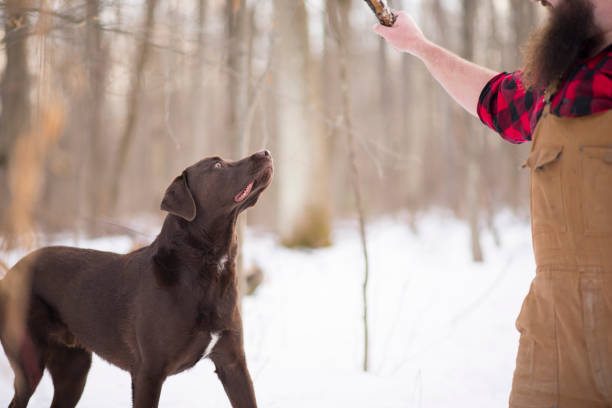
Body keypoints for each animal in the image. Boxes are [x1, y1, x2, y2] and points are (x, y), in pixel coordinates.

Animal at [0, 150, 272, 408]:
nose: (265, 152)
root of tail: (11, 273)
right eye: (217, 165)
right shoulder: (148, 373)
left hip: (74, 370)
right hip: (29, 361)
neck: (208, 268)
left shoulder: (233, 363)